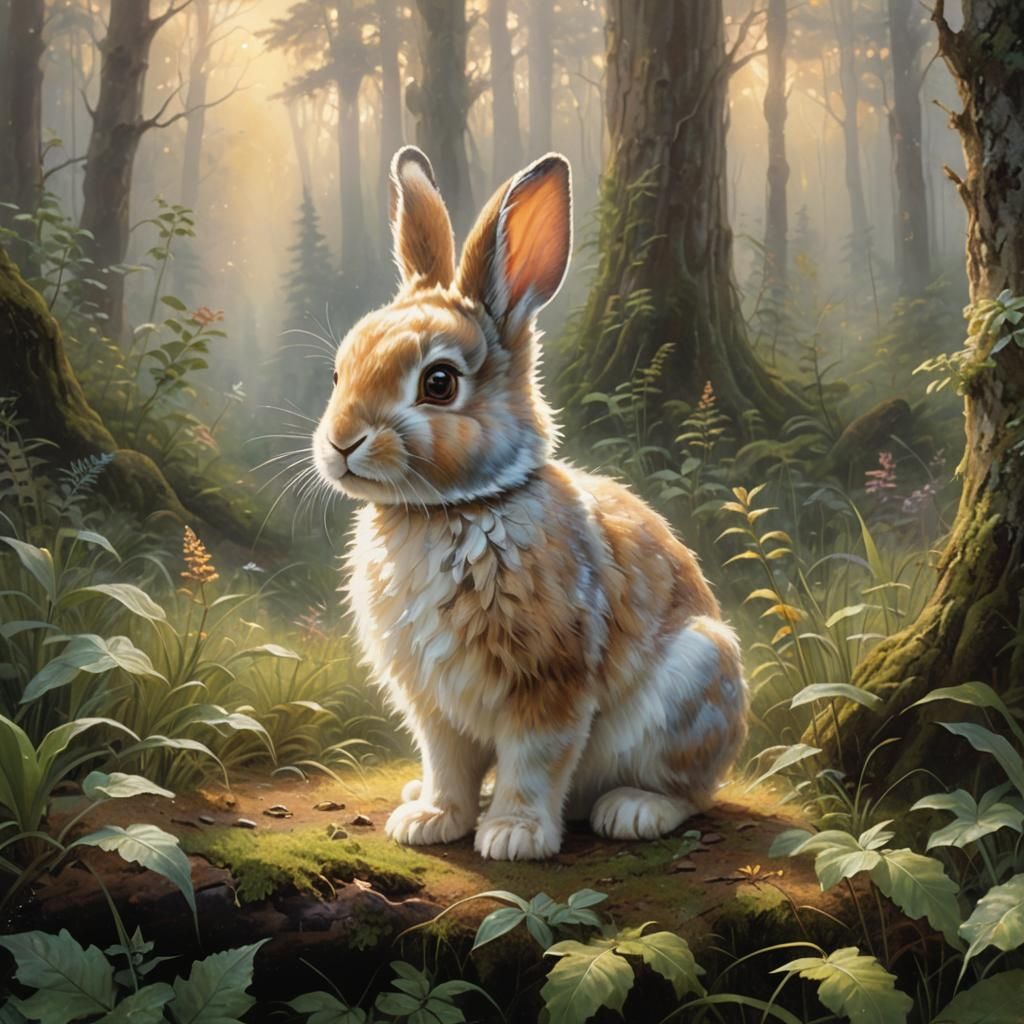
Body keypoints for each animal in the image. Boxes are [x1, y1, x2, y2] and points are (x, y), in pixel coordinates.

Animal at [312, 146, 748, 861]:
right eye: (339, 371)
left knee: (691, 790)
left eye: (439, 383)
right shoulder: (432, 702)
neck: (451, 509)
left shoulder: (549, 683)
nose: (341, 442)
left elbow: (535, 762)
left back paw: (633, 811)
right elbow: (447, 763)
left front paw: (513, 836)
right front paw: (430, 821)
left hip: (696, 682)